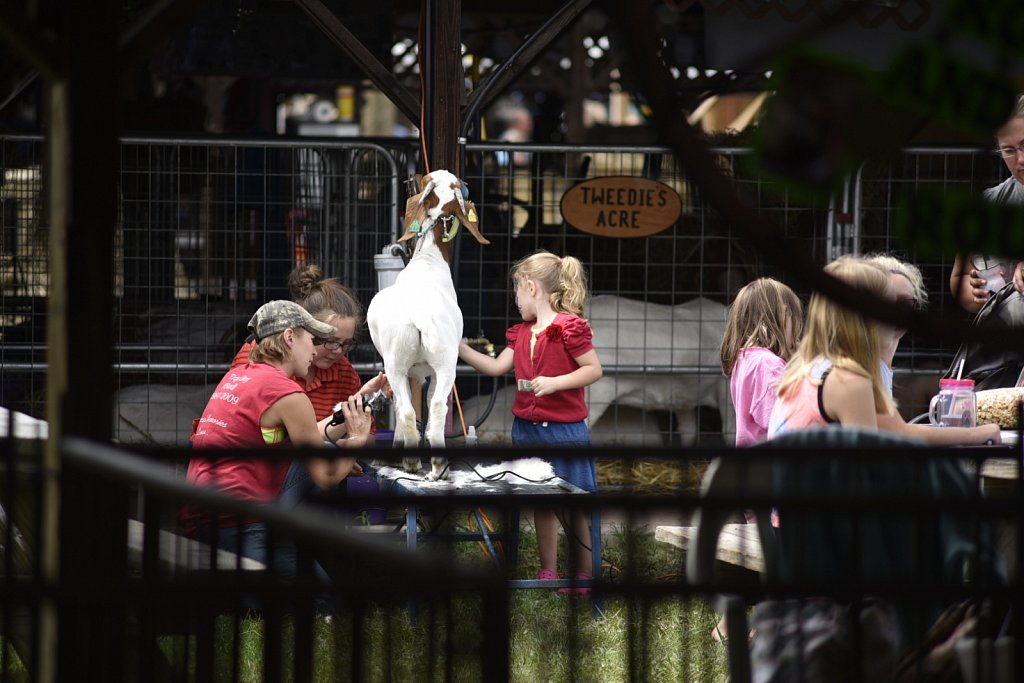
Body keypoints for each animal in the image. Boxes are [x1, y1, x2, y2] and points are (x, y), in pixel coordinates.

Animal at [366, 171, 489, 481]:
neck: (429, 259)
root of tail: (420, 314)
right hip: (442, 365)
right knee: (432, 406)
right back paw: (435, 465)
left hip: (398, 364)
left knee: (409, 409)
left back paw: (416, 462)